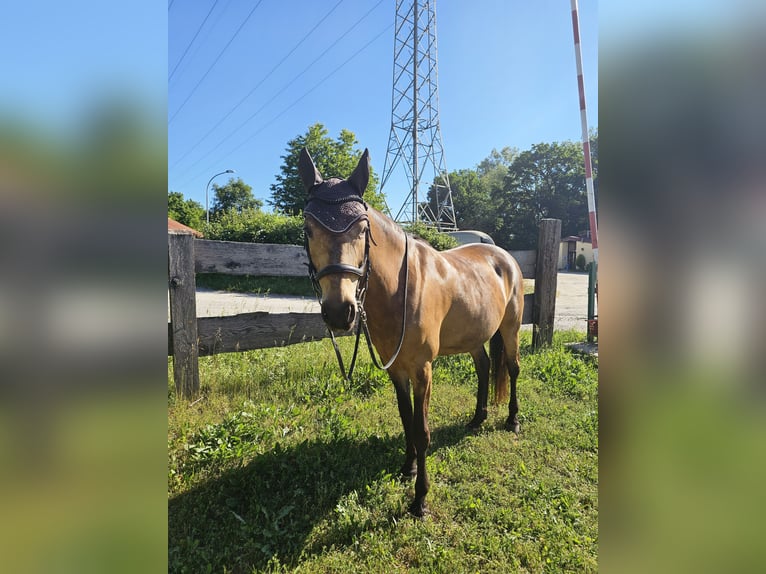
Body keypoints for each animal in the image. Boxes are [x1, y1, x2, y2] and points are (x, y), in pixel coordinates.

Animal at [301, 147, 524, 517]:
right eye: (308, 229)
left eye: (363, 228)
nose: (339, 312)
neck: (399, 290)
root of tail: (502, 255)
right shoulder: (396, 370)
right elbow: (406, 419)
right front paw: (408, 467)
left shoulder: (422, 370)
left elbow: (421, 431)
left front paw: (420, 499)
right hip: (474, 335)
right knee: (483, 367)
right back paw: (477, 418)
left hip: (511, 327)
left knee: (513, 368)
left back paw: (513, 420)